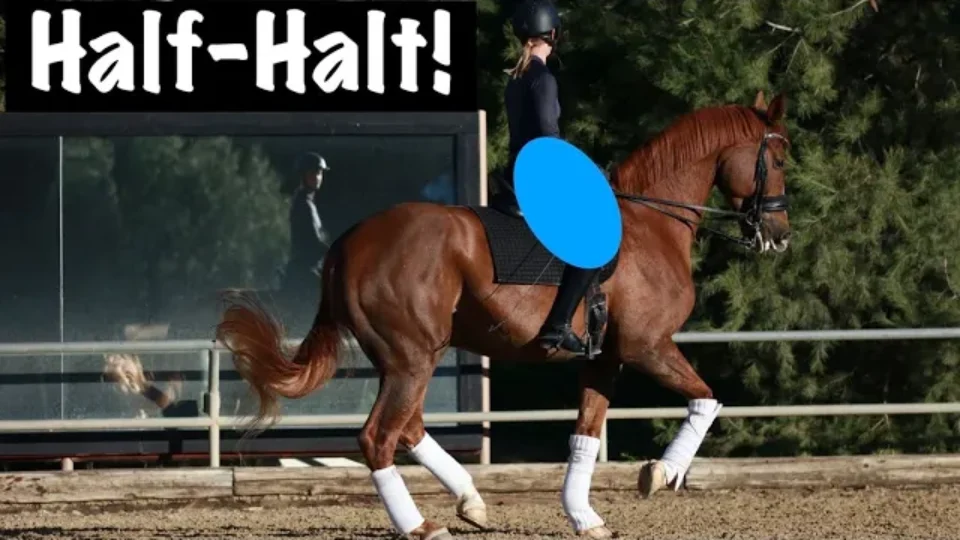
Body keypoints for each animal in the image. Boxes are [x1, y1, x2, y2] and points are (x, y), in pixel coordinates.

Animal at [215, 90, 792, 540]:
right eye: (783, 159)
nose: (780, 236)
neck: (650, 222)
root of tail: (349, 242)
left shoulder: (604, 359)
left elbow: (585, 433)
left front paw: (584, 516)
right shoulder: (646, 347)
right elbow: (707, 400)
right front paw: (661, 475)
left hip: (410, 356)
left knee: (408, 428)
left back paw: (470, 501)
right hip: (411, 358)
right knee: (378, 437)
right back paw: (421, 525)